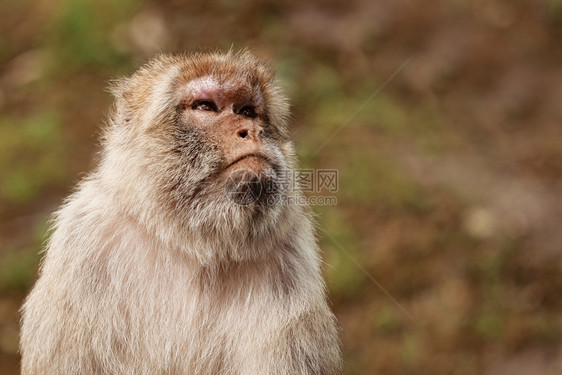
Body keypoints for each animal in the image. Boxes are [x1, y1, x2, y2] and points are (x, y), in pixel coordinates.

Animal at [18, 50, 342, 375]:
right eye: (205, 106)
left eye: (247, 111)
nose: (252, 130)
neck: (195, 243)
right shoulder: (83, 244)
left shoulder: (290, 262)